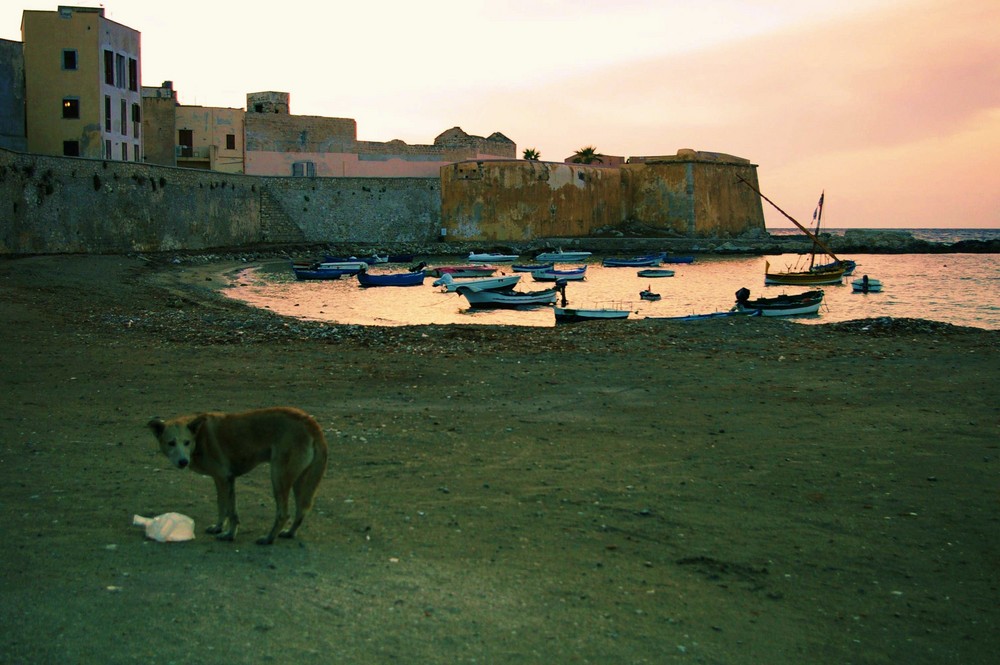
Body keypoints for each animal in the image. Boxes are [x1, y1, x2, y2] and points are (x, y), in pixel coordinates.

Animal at [148, 404, 328, 544]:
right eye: (171, 443)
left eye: (186, 442)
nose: (183, 462)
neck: (199, 437)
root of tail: (309, 421)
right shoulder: (224, 480)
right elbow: (223, 506)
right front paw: (219, 527)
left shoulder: (224, 478)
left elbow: (231, 511)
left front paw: (228, 535)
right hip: (300, 481)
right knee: (302, 510)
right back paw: (289, 533)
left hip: (279, 477)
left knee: (284, 513)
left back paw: (269, 538)